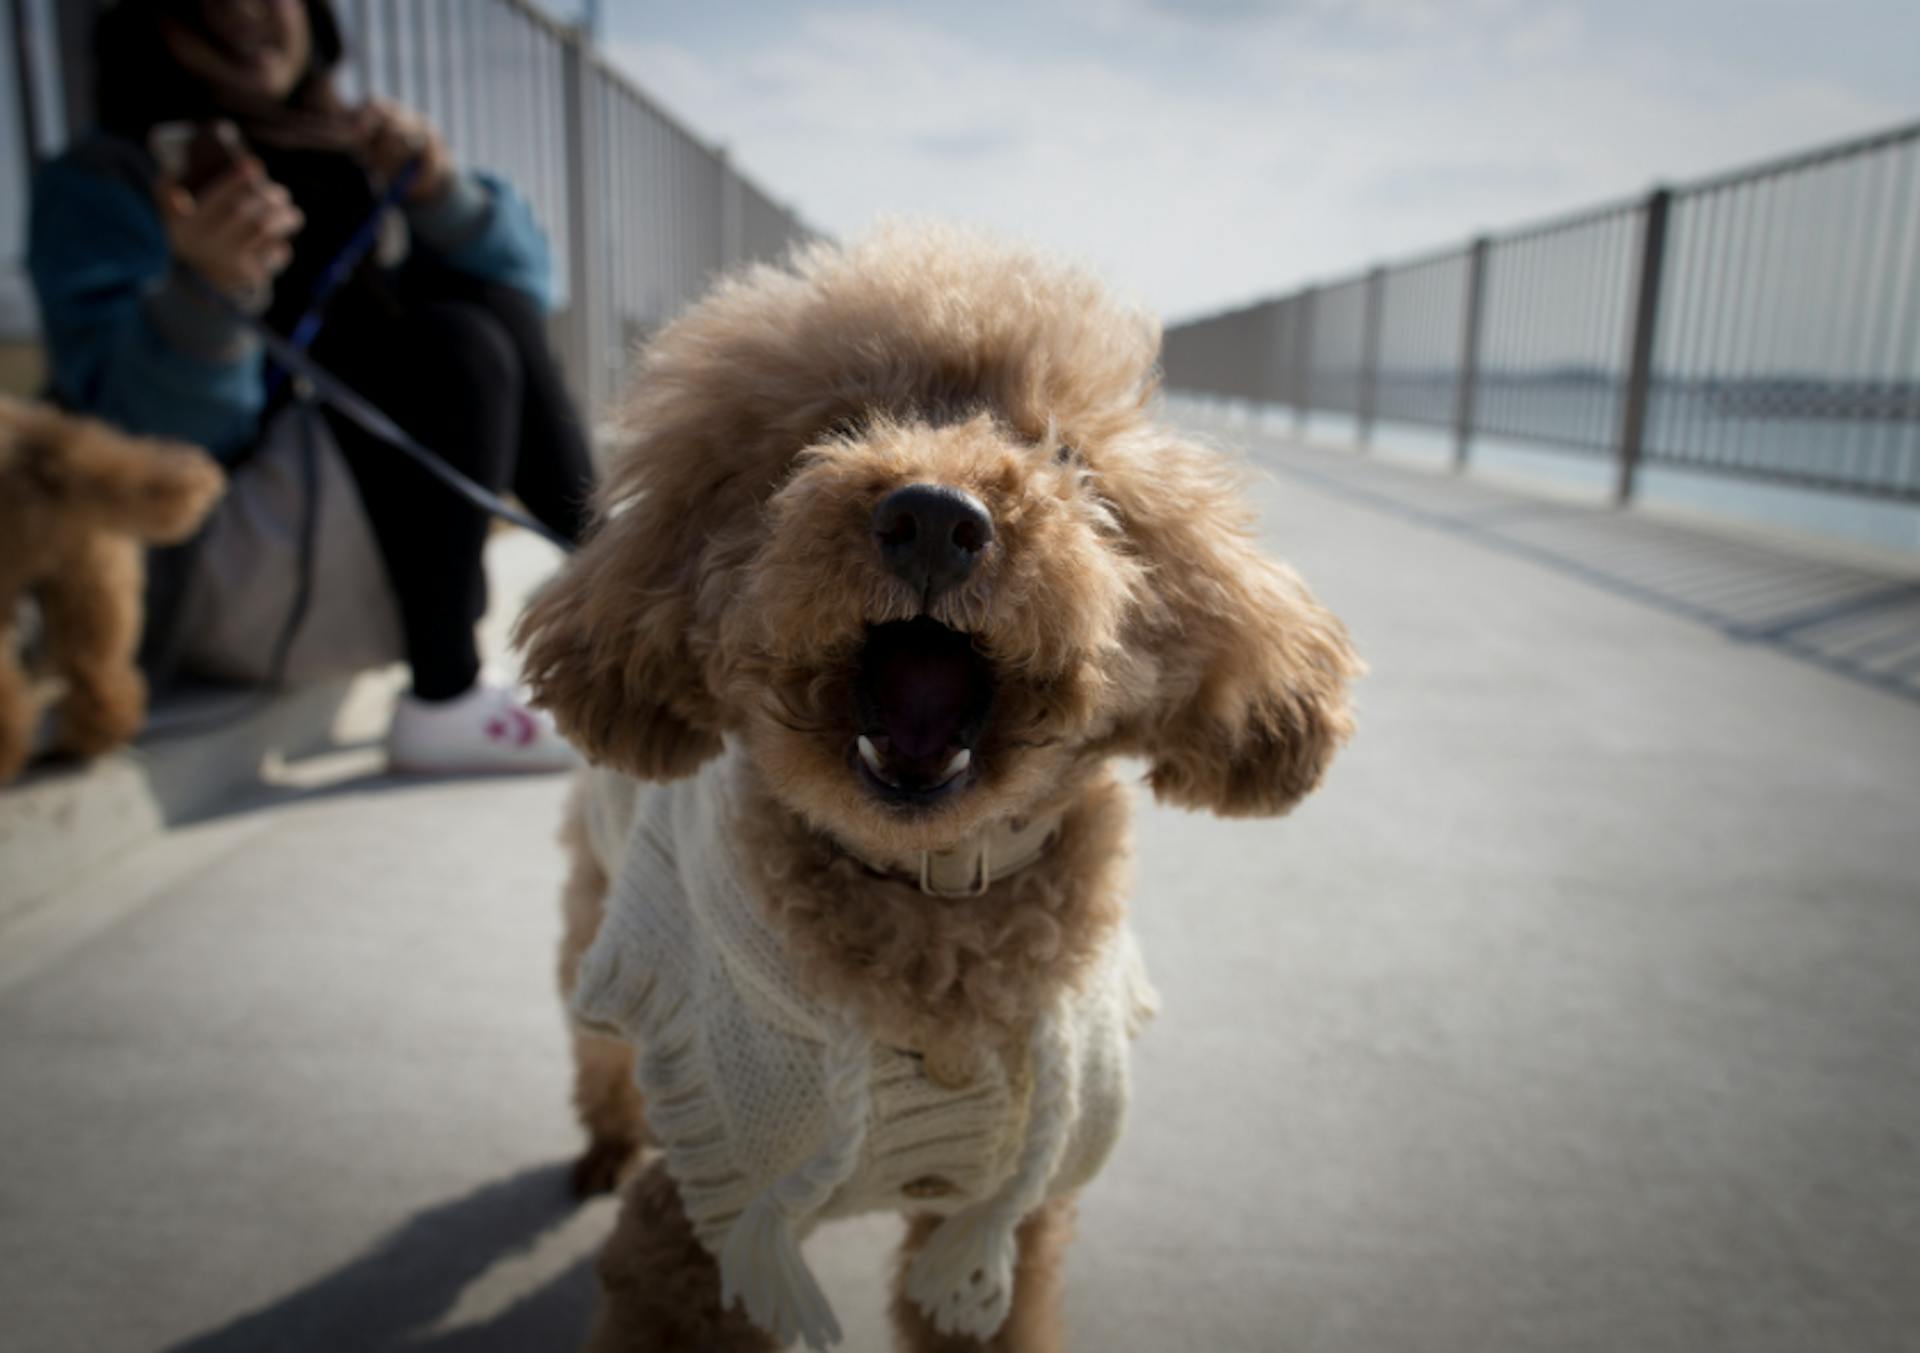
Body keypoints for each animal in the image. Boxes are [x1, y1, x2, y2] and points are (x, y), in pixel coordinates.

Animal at [518, 224, 1359, 1351]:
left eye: (1066, 459)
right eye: (833, 431)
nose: (931, 516)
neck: (934, 899)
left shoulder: (999, 1219)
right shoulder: (708, 1220)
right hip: (602, 924)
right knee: (595, 1039)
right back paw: (607, 1139)